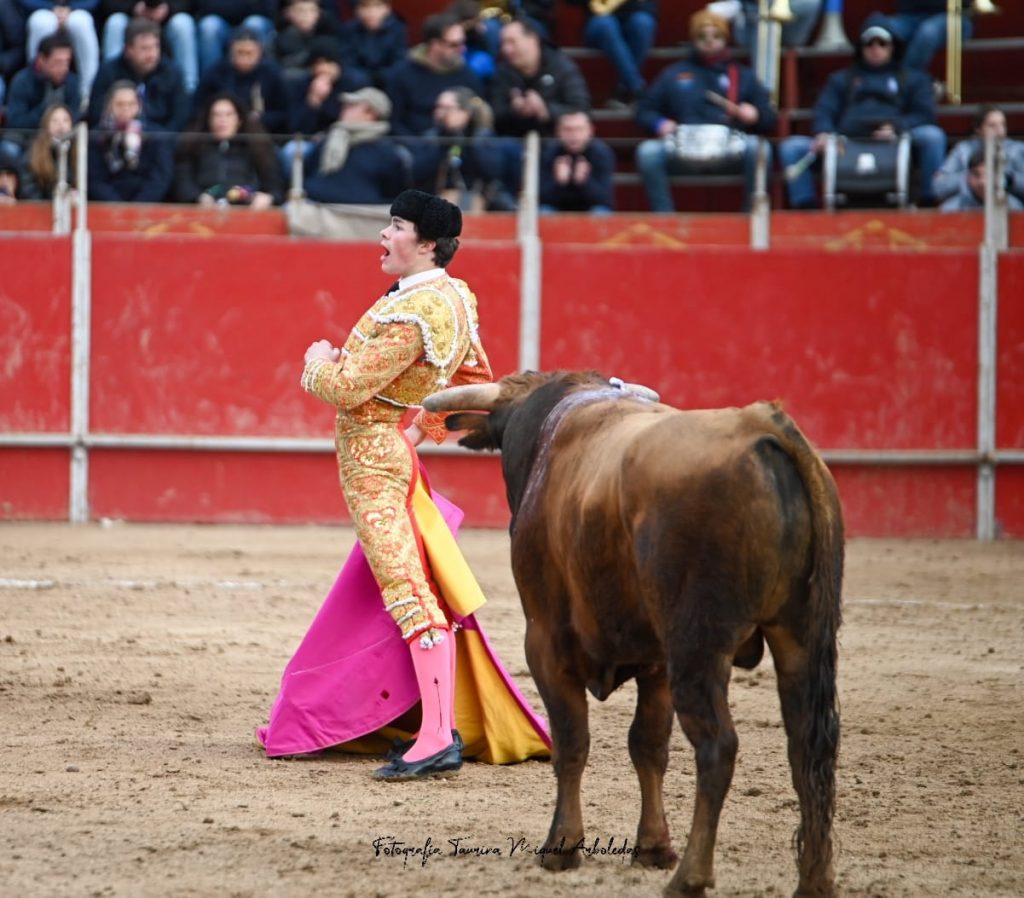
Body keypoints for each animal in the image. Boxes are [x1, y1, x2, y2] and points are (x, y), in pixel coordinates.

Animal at [423, 370, 847, 896]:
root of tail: (763, 425)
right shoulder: (657, 662)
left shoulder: (545, 642)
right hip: (801, 636)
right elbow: (648, 747)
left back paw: (691, 877)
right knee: (808, 745)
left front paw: (562, 847)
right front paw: (653, 847)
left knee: (719, 746)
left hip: (699, 645)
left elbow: (572, 741)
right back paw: (814, 881)